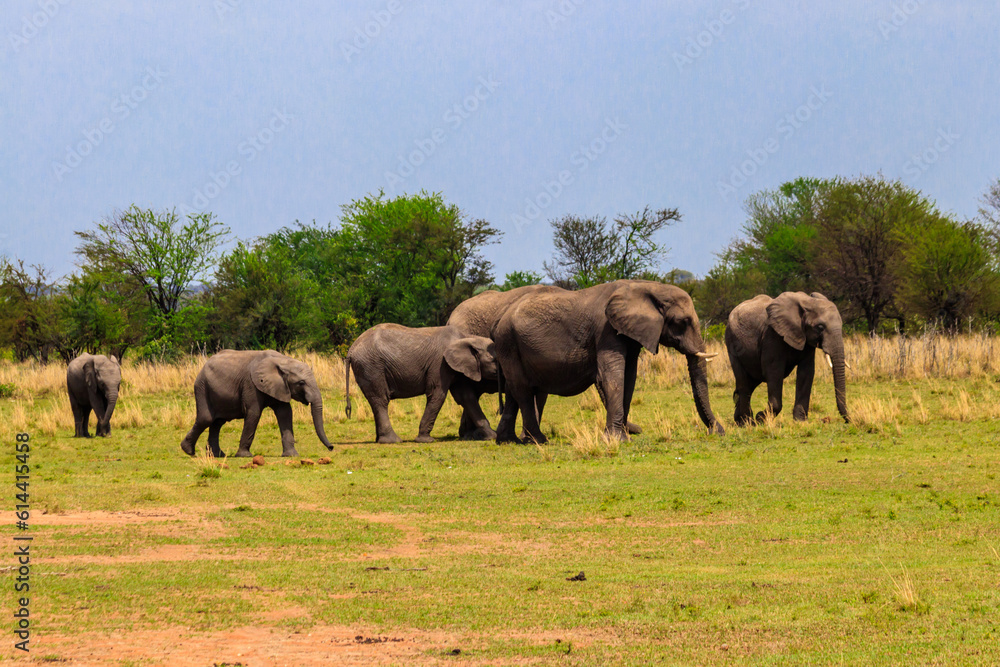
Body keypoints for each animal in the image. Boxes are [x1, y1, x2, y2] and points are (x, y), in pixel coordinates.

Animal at [180, 350, 333, 458]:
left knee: (217, 422)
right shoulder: (250, 384)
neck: (283, 361)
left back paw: (217, 455)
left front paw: (292, 455)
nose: (331, 448)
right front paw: (244, 456)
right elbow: (254, 413)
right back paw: (188, 451)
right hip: (202, 387)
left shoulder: (280, 387)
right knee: (206, 419)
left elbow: (285, 414)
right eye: (301, 383)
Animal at [344, 323, 498, 443]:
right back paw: (393, 441)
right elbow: (438, 395)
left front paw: (492, 436)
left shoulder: (456, 367)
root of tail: (351, 350)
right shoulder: (440, 364)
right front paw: (425, 440)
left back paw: (380, 440)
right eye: (494, 360)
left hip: (367, 368)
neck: (467, 337)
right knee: (381, 400)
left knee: (376, 401)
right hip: (372, 367)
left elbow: (466, 397)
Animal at [491, 279, 724, 444]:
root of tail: (500, 321)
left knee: (514, 390)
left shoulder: (630, 334)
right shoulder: (605, 330)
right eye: (682, 322)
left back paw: (508, 441)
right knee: (522, 389)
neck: (647, 286)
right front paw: (616, 440)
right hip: (508, 341)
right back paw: (538, 441)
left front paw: (623, 437)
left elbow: (629, 378)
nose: (716, 430)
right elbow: (612, 377)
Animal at [725, 292, 849, 425]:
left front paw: (800, 422)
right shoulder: (772, 336)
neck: (808, 302)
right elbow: (774, 372)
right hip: (731, 343)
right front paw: (760, 418)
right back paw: (746, 423)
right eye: (820, 327)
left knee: (750, 382)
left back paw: (740, 420)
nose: (848, 420)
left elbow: (806, 373)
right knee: (743, 382)